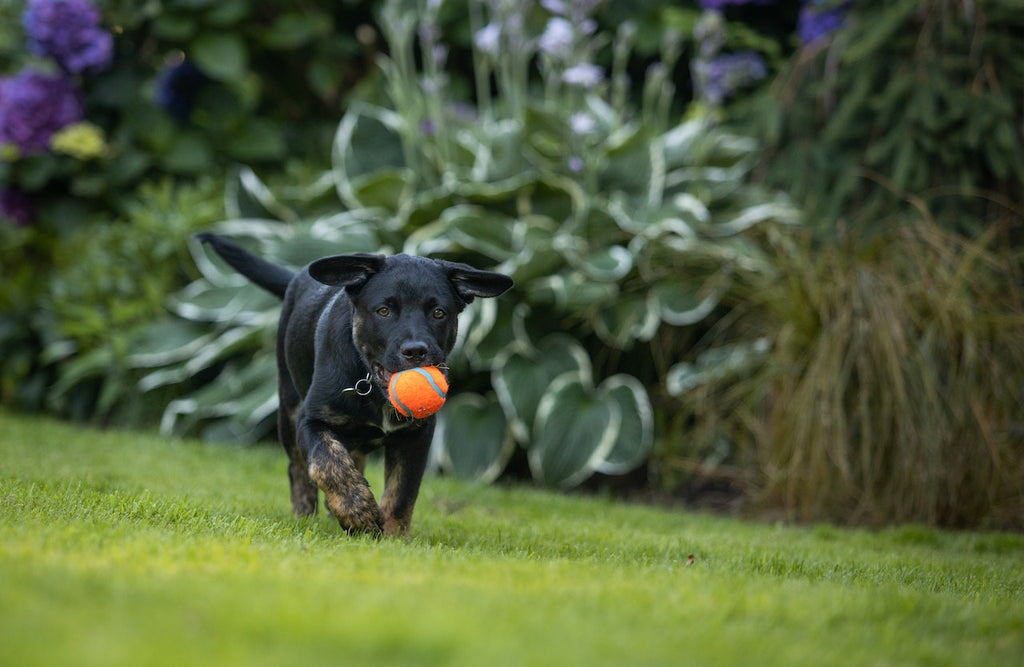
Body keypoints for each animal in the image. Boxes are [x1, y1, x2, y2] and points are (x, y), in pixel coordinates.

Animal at [198, 234, 516, 536]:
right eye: (384, 311)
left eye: (439, 313)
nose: (416, 351)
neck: (374, 388)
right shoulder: (311, 420)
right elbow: (328, 463)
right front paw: (358, 513)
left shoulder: (418, 434)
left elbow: (402, 491)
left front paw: (393, 537)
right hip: (288, 406)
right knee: (299, 468)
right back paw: (305, 514)